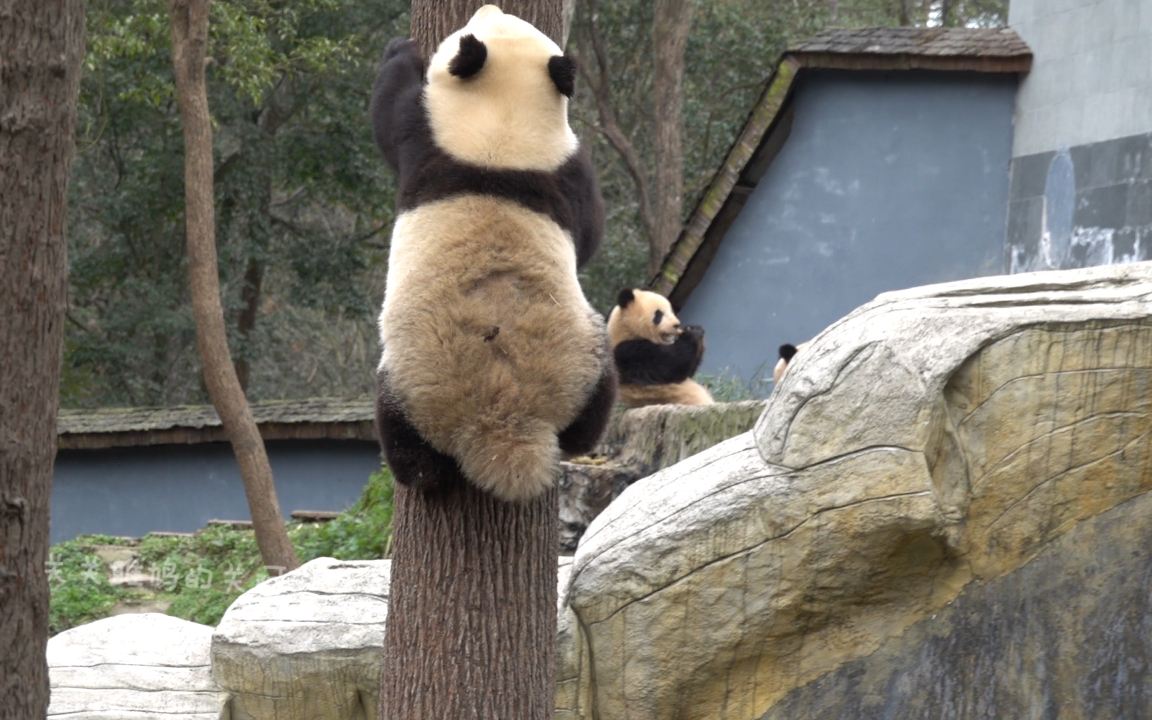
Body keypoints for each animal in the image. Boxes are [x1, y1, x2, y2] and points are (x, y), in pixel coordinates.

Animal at [373, 7, 617, 499]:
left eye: (476, 23)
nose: (489, 7)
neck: (502, 138)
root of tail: (505, 425)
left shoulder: (429, 142)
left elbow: (392, 113)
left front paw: (401, 50)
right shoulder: (559, 175)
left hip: (410, 380)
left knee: (402, 435)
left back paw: (420, 472)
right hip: (586, 365)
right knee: (597, 404)